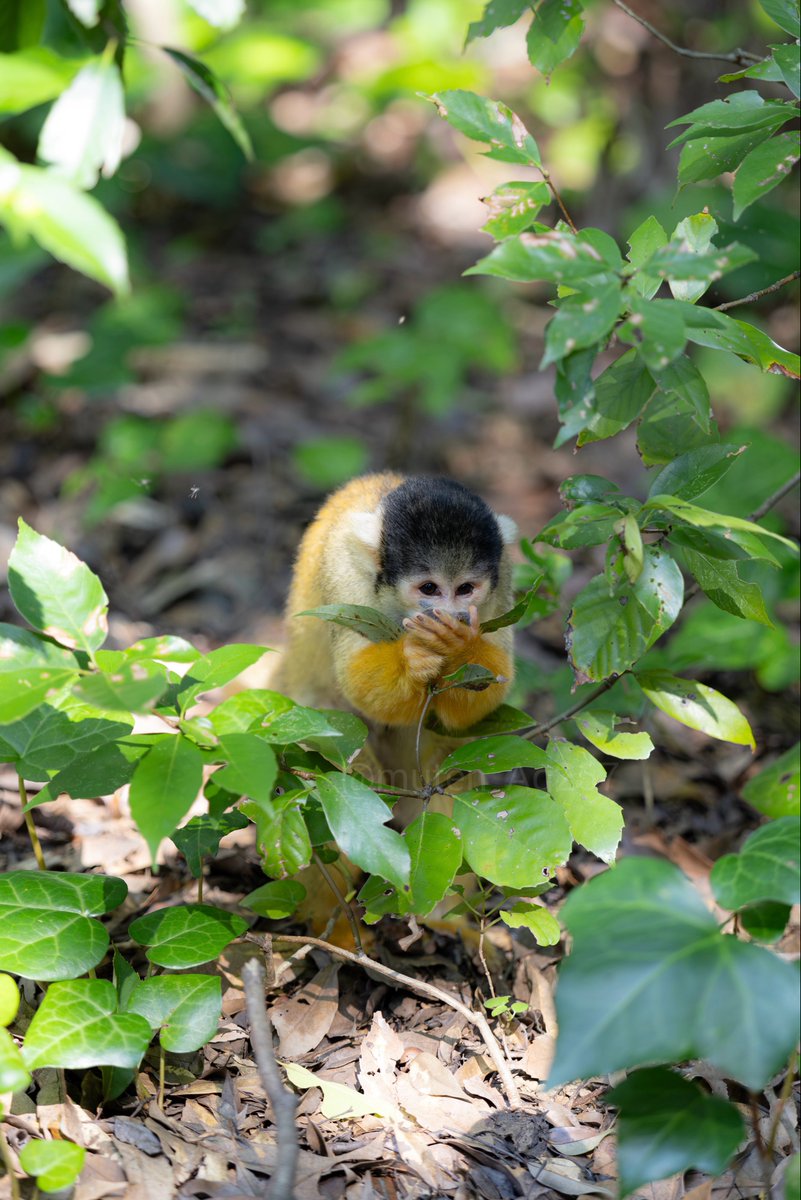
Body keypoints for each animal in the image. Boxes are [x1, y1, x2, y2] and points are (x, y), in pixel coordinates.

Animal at [271, 473, 518, 789]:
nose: (453, 616)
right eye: (429, 588)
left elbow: (477, 701)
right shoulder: (344, 566)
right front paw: (411, 659)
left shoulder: (504, 573)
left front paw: (459, 649)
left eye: (465, 589)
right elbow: (353, 677)